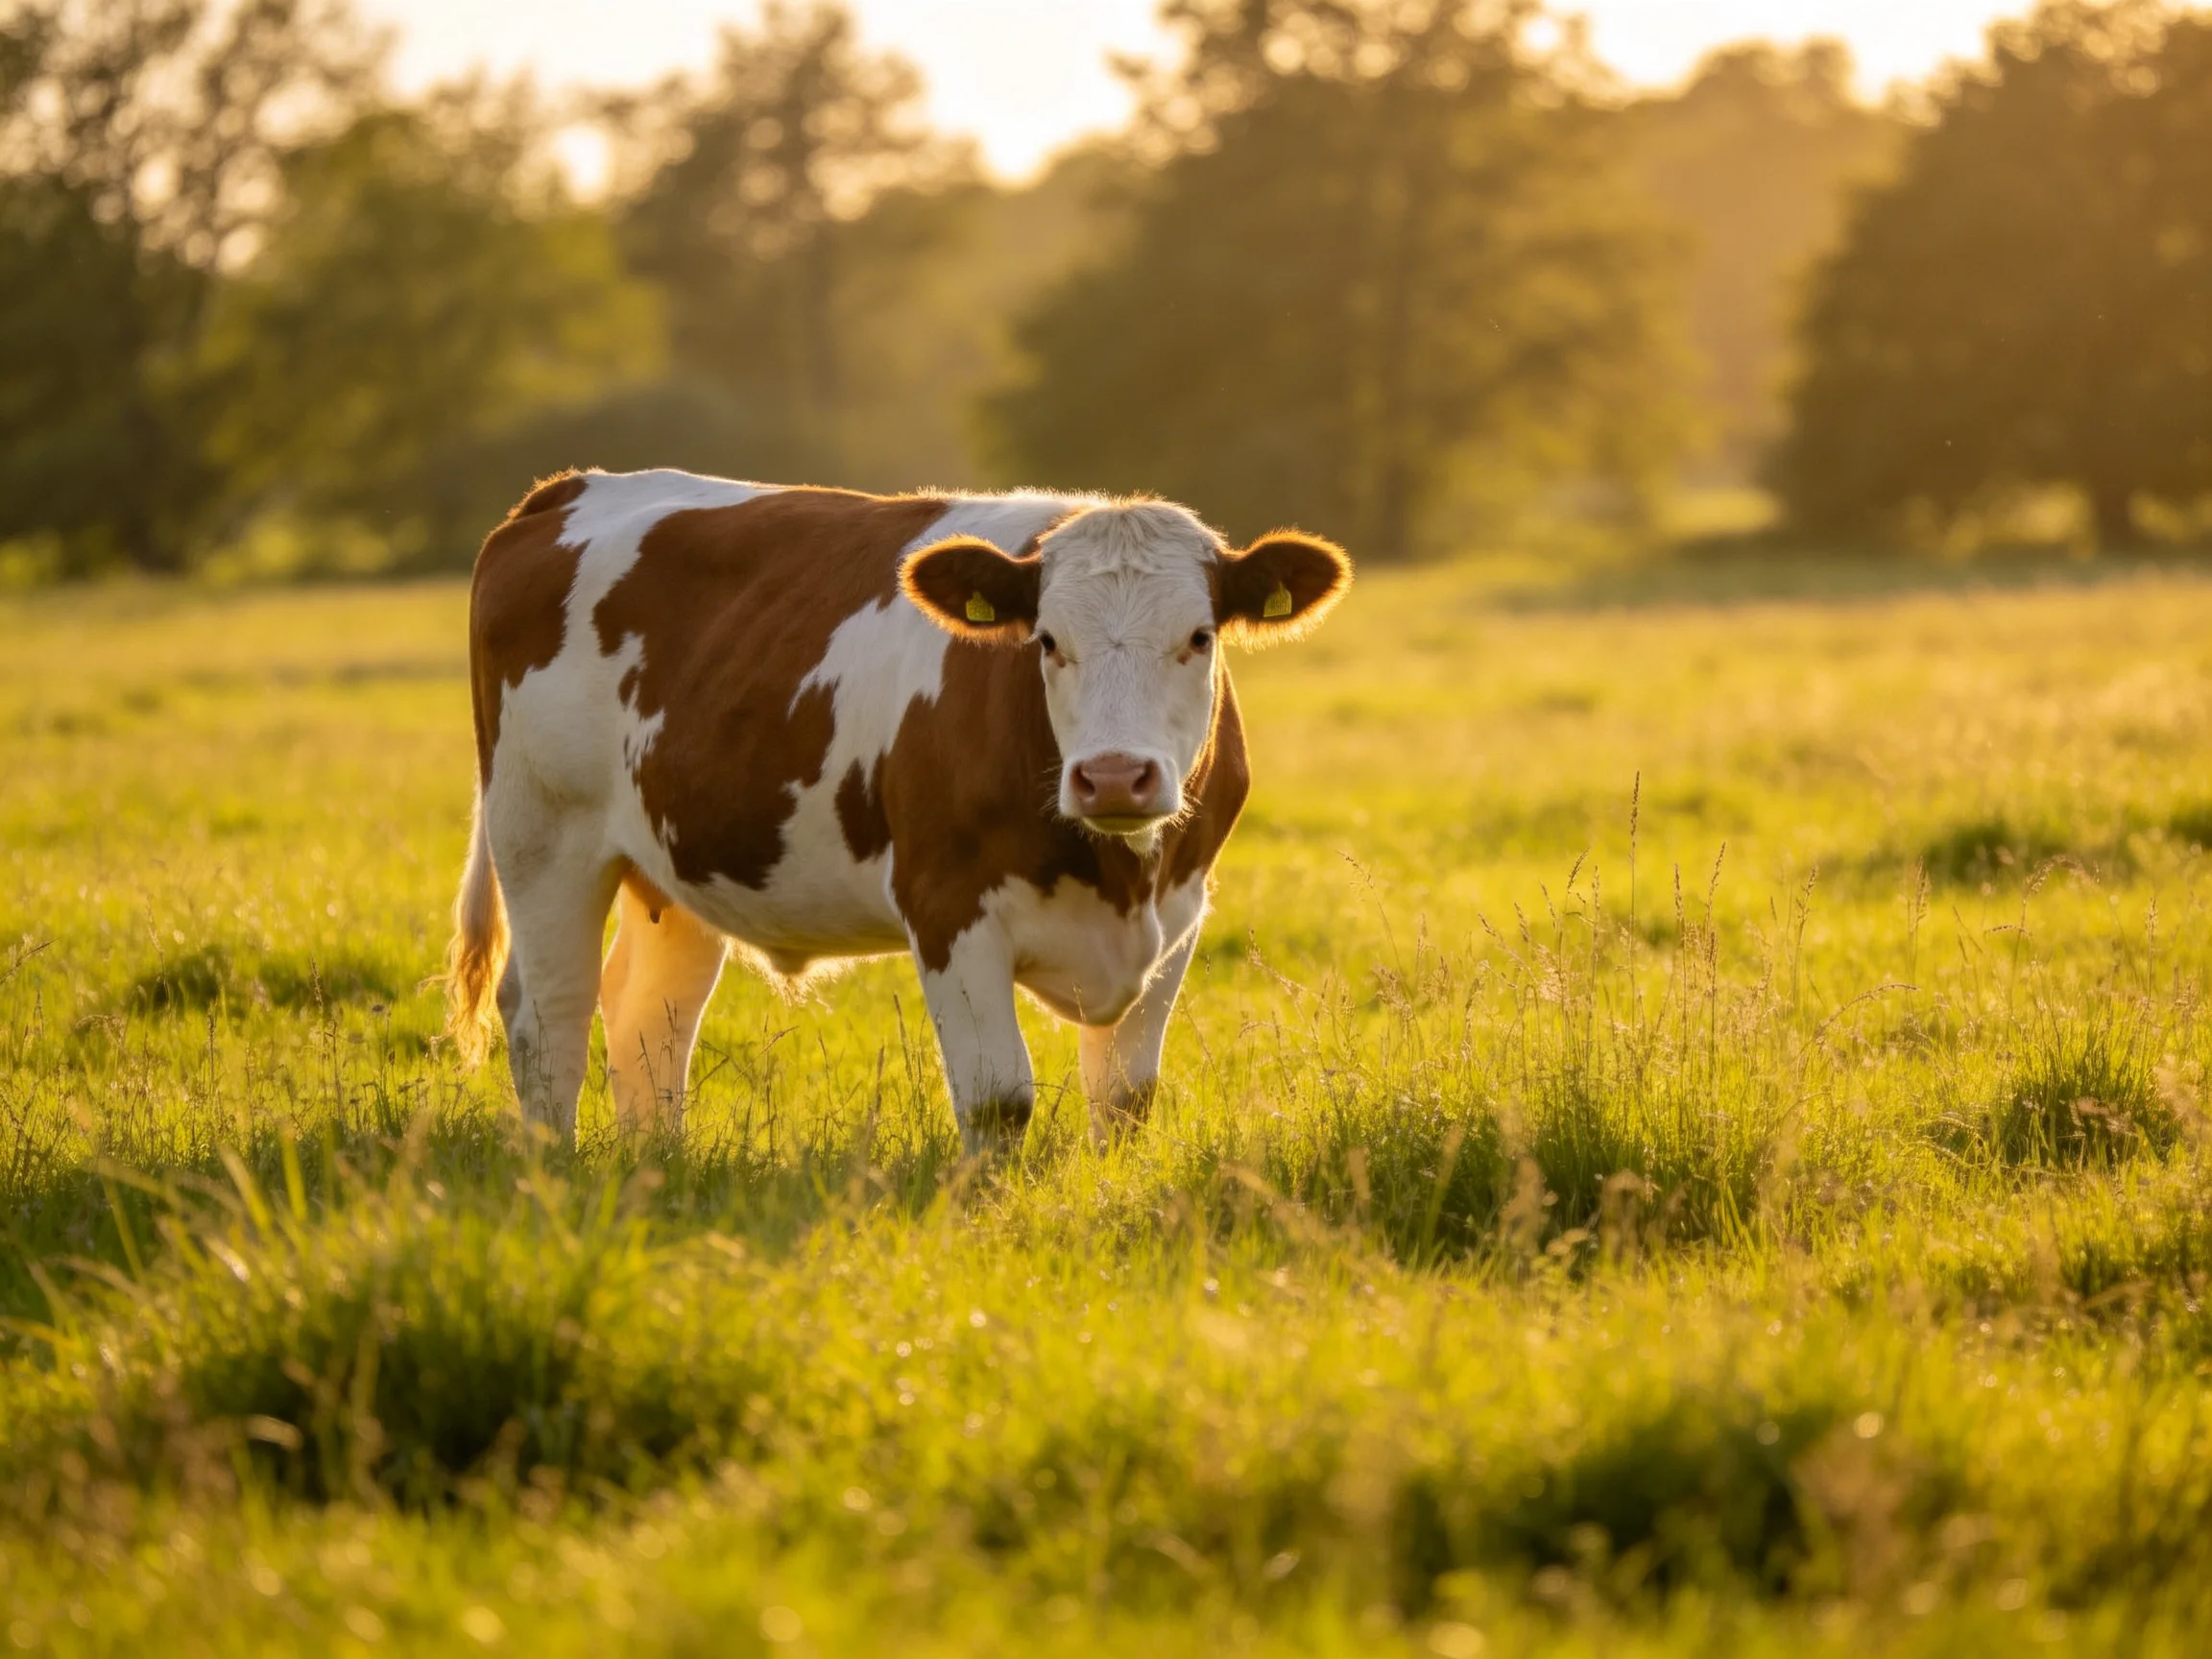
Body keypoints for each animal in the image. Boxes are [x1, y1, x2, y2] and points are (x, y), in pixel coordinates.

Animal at [445, 469, 1352, 1154]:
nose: (1116, 778)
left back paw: (655, 1166)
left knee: (649, 1019)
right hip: (542, 833)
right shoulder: (948, 904)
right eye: (1047, 641)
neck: (1114, 873)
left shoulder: (1180, 913)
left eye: (1200, 637)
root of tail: (572, 488)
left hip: (670, 867)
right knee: (549, 1015)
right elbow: (997, 1099)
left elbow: (1126, 1098)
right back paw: (554, 1169)